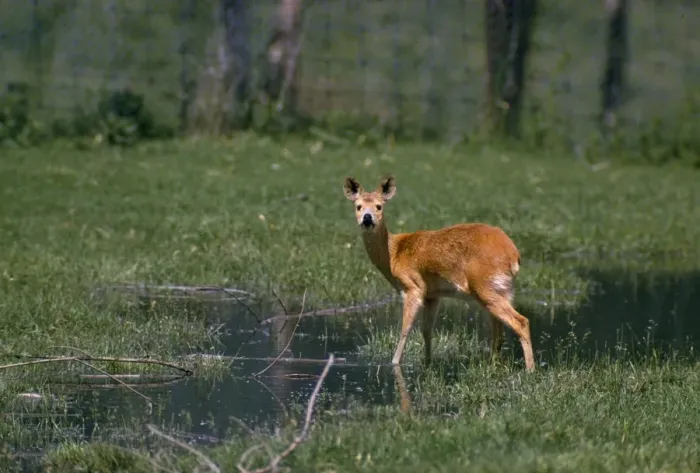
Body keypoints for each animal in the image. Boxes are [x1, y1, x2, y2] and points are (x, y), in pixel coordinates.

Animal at [343, 175, 535, 372]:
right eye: (358, 206)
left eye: (379, 206)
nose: (367, 218)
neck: (394, 254)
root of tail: (513, 254)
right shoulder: (432, 295)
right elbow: (427, 330)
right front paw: (428, 362)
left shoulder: (413, 287)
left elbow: (405, 329)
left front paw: (395, 363)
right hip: (501, 290)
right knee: (499, 328)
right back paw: (495, 365)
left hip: (485, 286)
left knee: (520, 322)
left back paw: (529, 371)